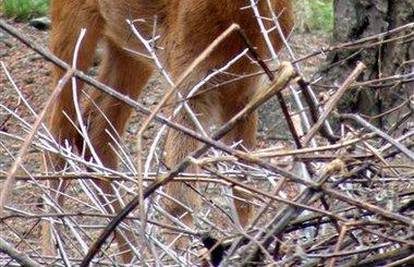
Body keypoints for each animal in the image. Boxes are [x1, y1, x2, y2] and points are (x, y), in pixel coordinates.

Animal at [43, 0, 292, 264]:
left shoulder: (247, 89)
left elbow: (243, 190)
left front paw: (248, 249)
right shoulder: (188, 78)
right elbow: (179, 198)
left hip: (130, 46)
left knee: (95, 132)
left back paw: (132, 253)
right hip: (75, 28)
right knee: (56, 137)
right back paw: (52, 255)